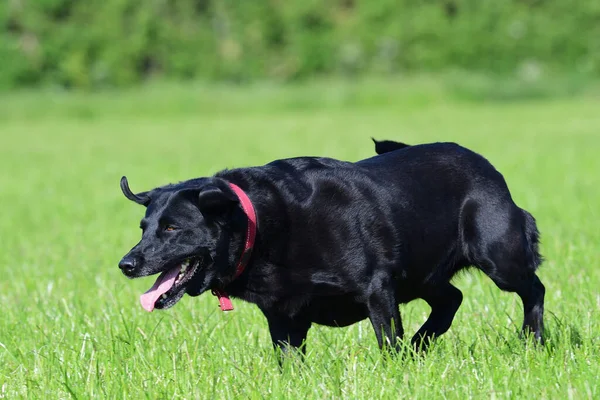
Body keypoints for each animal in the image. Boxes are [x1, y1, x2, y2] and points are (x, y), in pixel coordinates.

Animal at [119, 140, 548, 354]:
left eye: (172, 227)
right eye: (143, 227)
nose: (126, 264)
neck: (262, 225)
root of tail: (484, 164)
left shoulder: (377, 287)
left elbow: (386, 341)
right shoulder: (283, 315)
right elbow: (288, 359)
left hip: (498, 256)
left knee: (534, 288)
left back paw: (533, 340)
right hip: (424, 275)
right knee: (451, 299)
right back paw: (420, 345)